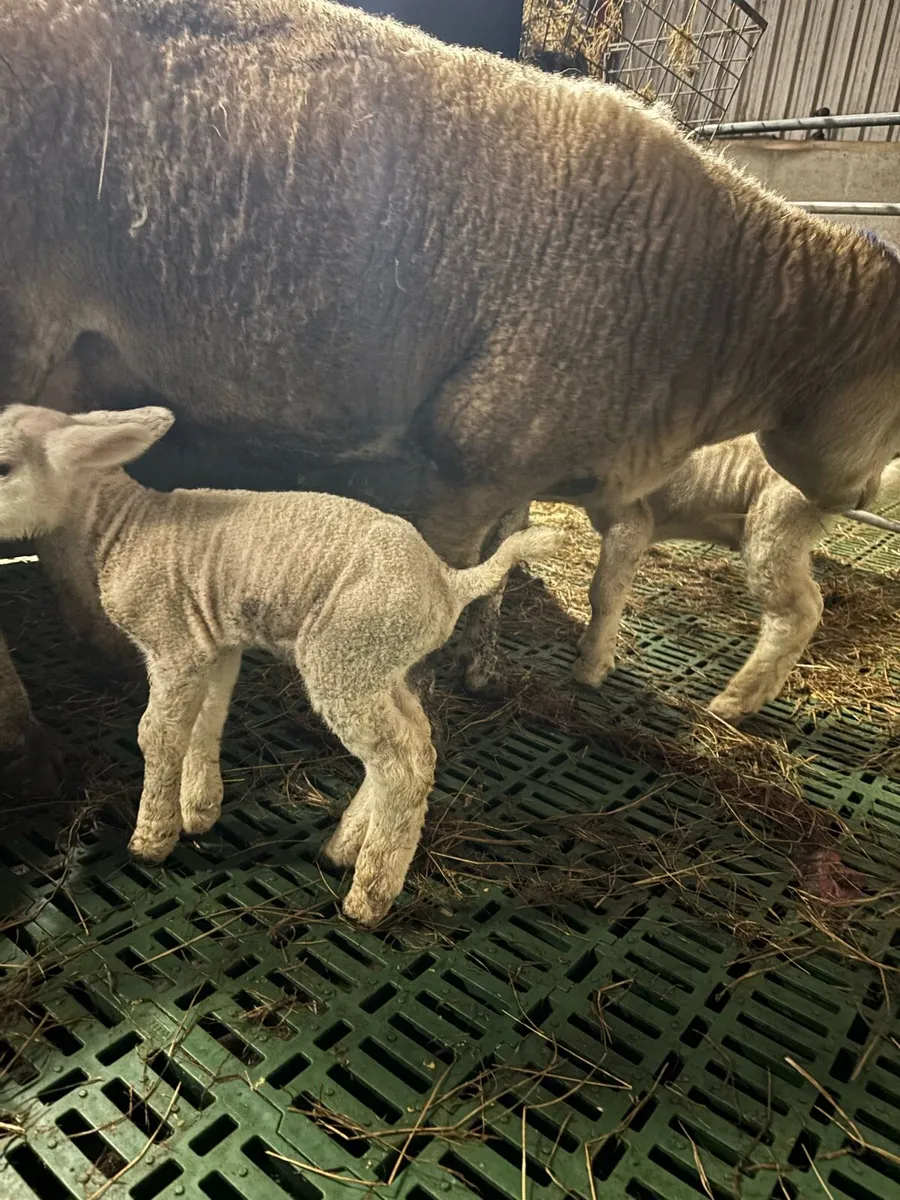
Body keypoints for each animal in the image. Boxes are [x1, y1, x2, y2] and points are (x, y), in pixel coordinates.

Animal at [0, 403, 562, 923]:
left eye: (4, 466)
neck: (123, 527)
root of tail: (449, 581)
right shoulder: (213, 643)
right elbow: (205, 722)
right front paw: (199, 809)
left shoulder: (172, 643)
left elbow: (157, 735)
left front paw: (151, 838)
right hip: (383, 664)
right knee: (418, 745)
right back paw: (344, 849)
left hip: (346, 655)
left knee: (401, 765)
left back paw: (370, 895)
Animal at [546, 439, 900, 725]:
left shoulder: (632, 519)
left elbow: (604, 593)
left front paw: (591, 666)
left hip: (776, 526)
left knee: (798, 612)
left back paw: (733, 702)